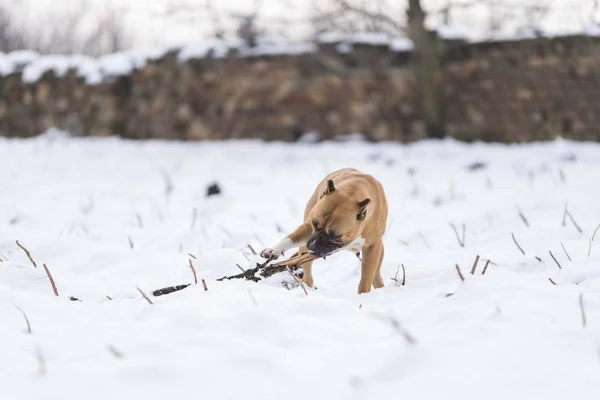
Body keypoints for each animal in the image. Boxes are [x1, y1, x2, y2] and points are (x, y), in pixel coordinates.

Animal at [260, 167, 386, 296]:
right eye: (315, 224)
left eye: (334, 235)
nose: (311, 248)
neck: (352, 191)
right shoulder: (308, 228)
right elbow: (290, 238)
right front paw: (274, 250)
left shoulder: (372, 248)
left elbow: (366, 278)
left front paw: (363, 295)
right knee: (307, 273)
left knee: (376, 274)